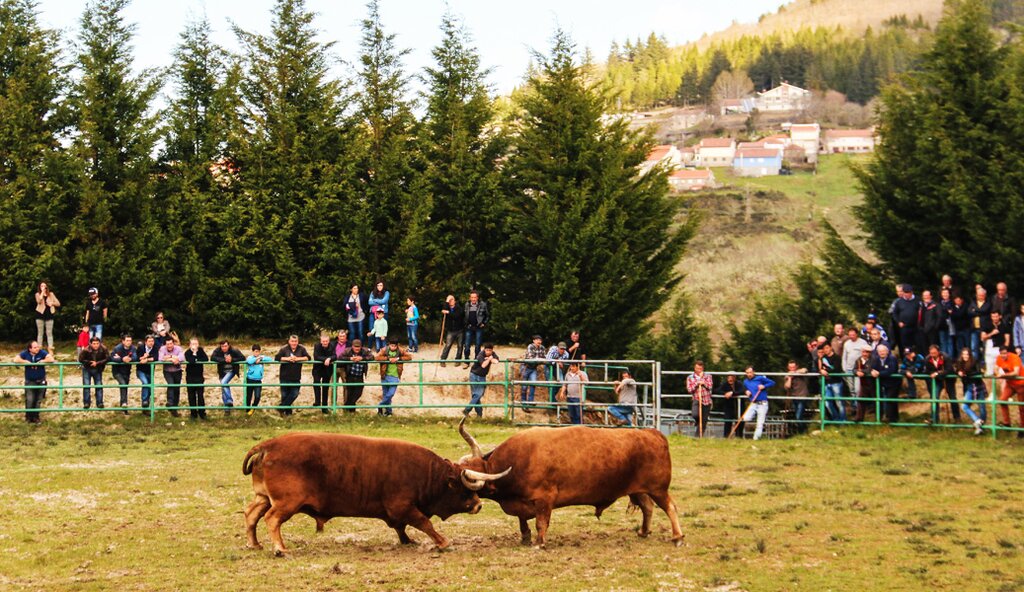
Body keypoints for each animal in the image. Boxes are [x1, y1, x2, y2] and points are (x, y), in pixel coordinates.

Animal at [243, 428, 507, 553]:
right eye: (463, 489)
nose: (478, 504)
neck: (428, 474)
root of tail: (268, 445)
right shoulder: (403, 506)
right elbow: (424, 523)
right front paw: (443, 542)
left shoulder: (397, 512)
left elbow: (402, 527)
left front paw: (407, 540)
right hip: (286, 503)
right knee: (271, 519)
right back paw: (280, 548)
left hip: (264, 498)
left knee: (251, 515)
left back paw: (254, 544)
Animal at [456, 417, 679, 544]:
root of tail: (653, 433)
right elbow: (523, 522)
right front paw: (525, 538)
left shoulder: (544, 500)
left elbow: (541, 523)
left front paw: (539, 542)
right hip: (639, 490)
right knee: (648, 507)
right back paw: (643, 532)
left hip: (658, 489)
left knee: (670, 508)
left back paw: (677, 536)